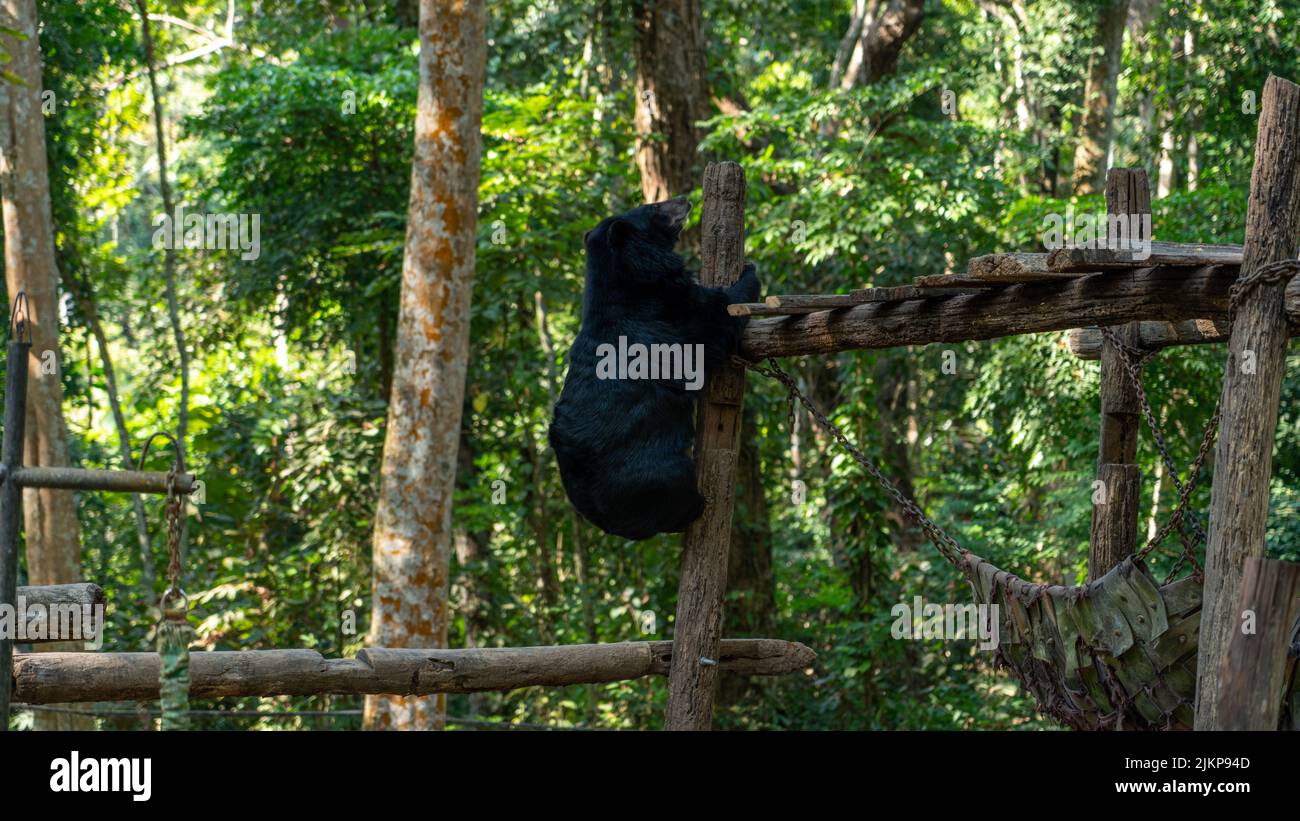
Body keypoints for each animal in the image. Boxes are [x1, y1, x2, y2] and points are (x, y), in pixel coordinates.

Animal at [548, 197, 761, 541]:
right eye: (654, 209)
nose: (684, 200)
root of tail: (611, 523)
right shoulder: (670, 309)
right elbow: (716, 319)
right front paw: (749, 271)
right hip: (656, 472)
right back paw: (696, 505)